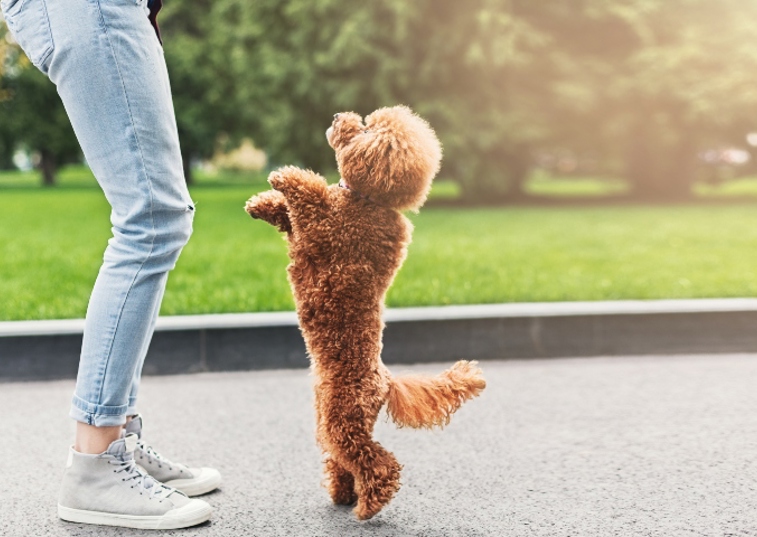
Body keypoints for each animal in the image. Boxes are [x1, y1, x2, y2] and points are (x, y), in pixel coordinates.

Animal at [245, 104, 488, 520]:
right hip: (329, 422)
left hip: (343, 420)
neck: (369, 200)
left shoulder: (327, 231)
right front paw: (262, 203)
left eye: (365, 128)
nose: (338, 115)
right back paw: (343, 493)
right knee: (342, 461)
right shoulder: (308, 234)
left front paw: (285, 175)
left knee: (376, 462)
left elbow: (309, 197)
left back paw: (370, 503)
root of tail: (385, 380)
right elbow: (288, 216)